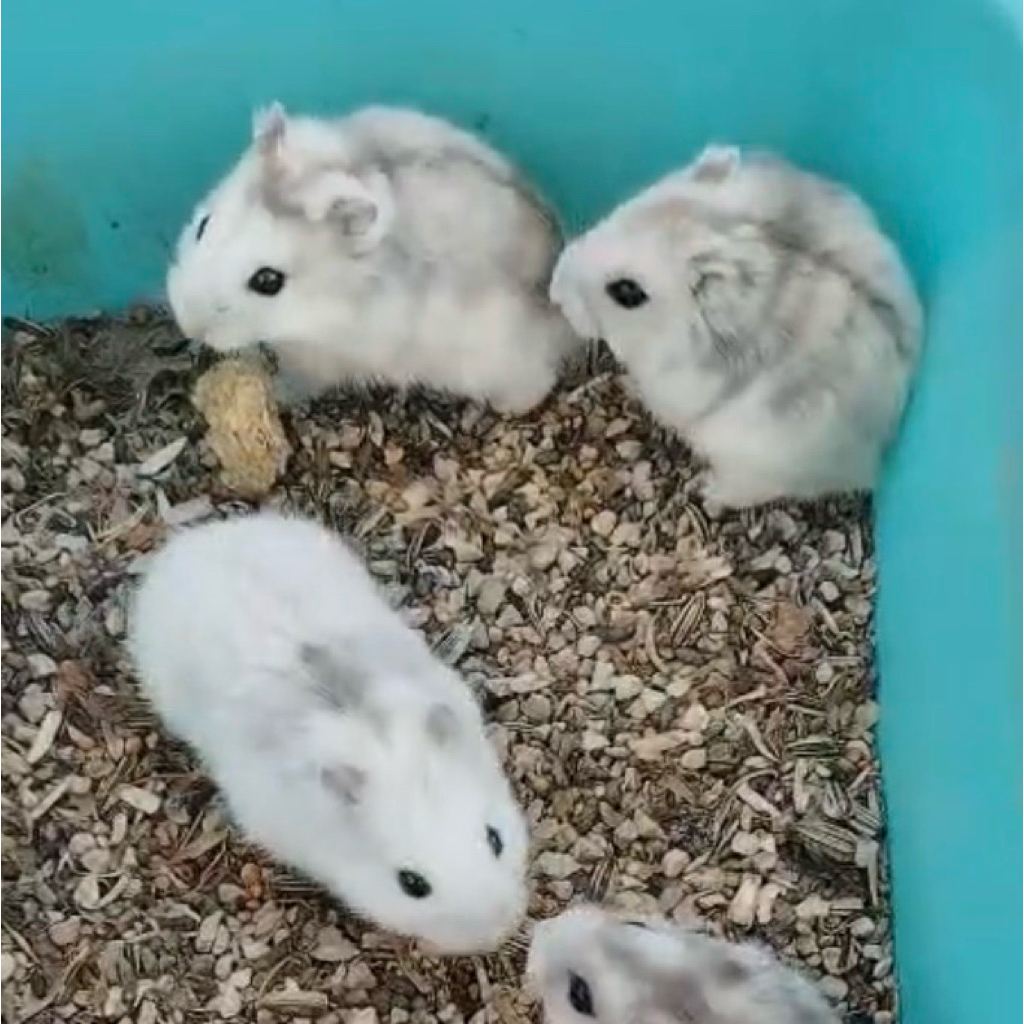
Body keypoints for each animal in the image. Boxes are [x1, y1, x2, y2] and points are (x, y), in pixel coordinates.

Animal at [166, 103, 580, 413]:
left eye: (268, 281)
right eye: (203, 225)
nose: (188, 327)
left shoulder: (320, 359)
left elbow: (297, 380)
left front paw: (277, 394)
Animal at [550, 145, 923, 508]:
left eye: (627, 292)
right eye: (622, 210)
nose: (554, 292)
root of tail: (873, 461)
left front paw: (629, 384)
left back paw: (707, 491)